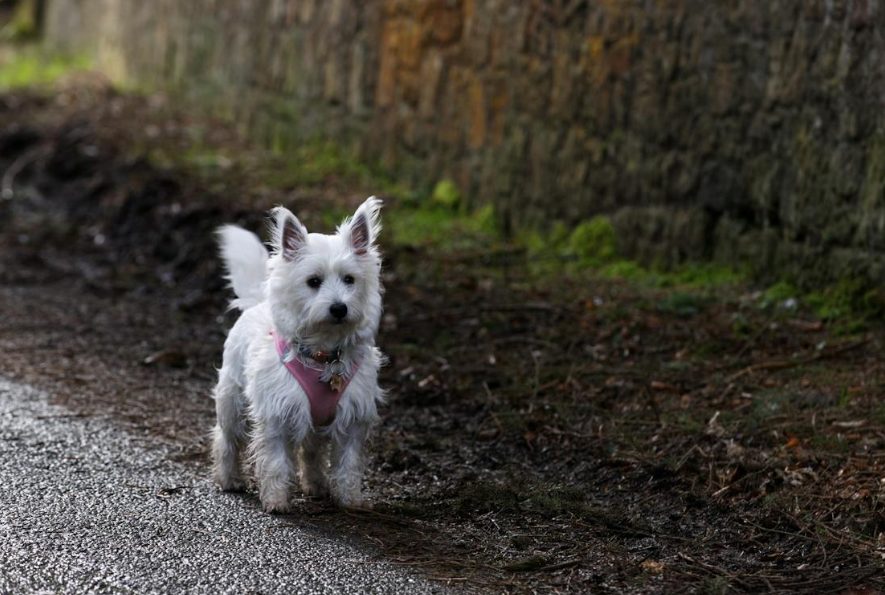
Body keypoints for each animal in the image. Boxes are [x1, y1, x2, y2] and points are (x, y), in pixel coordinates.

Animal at [211, 197, 385, 512]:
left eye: (349, 279)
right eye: (313, 281)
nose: (339, 308)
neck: (324, 355)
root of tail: (256, 303)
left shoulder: (353, 417)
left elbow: (348, 463)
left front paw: (351, 500)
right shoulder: (277, 415)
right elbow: (276, 462)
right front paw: (277, 501)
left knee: (311, 452)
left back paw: (315, 485)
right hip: (232, 400)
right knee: (226, 439)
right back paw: (229, 479)